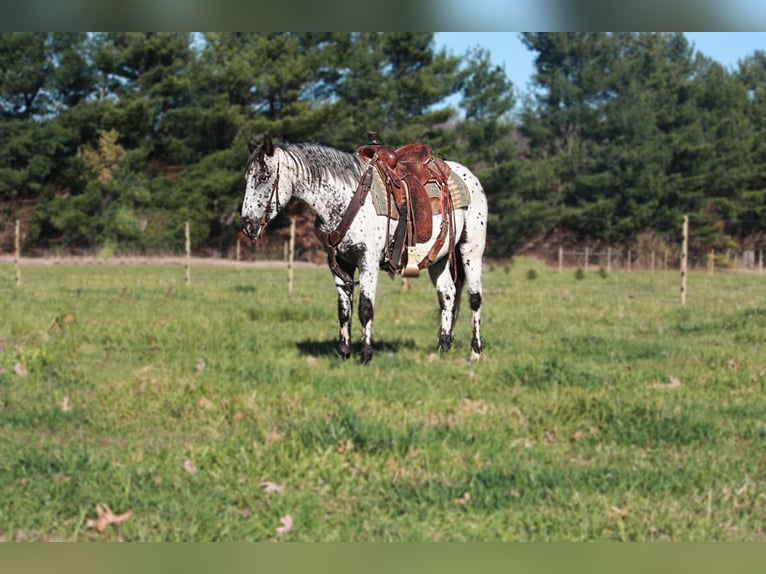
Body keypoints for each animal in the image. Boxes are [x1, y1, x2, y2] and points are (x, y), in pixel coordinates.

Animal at [243, 135, 488, 364]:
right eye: (246, 177)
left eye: (263, 177)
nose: (248, 224)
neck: (348, 199)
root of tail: (467, 174)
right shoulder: (340, 264)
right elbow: (344, 311)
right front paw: (344, 354)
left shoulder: (367, 262)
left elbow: (365, 309)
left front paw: (366, 355)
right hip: (439, 258)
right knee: (447, 296)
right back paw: (442, 348)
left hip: (471, 251)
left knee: (474, 299)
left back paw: (475, 353)